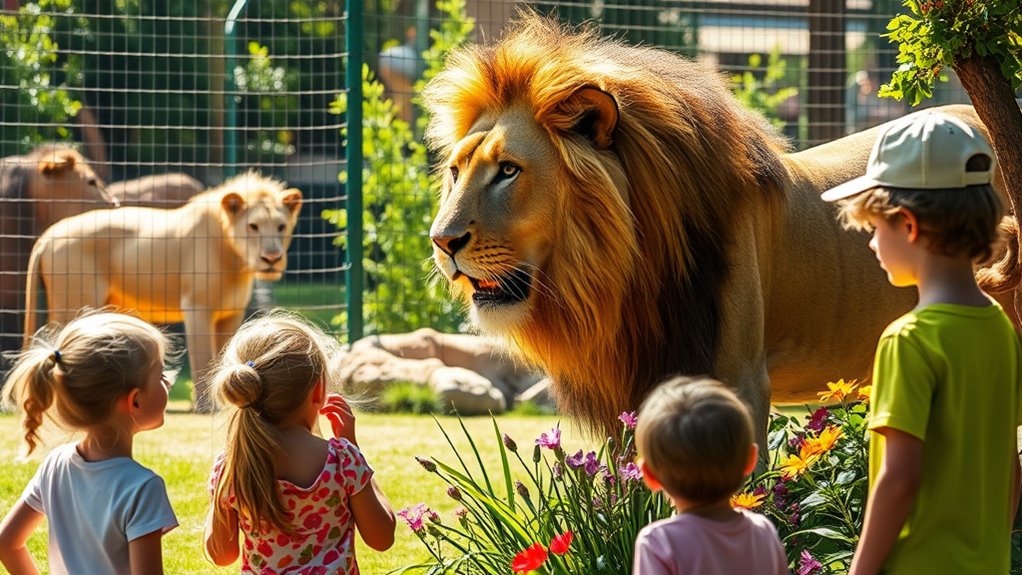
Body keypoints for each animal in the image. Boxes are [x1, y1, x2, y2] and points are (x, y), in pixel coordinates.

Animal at [24, 170, 300, 408]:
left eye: (281, 227)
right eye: (253, 226)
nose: (272, 258)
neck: (235, 259)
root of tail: (47, 236)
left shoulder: (231, 313)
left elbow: (227, 354)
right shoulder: (196, 307)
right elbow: (203, 359)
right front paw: (205, 407)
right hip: (73, 302)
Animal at [419, 13, 1017, 447]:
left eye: (508, 170)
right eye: (456, 171)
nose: (441, 242)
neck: (625, 280)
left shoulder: (739, 380)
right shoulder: (632, 388)